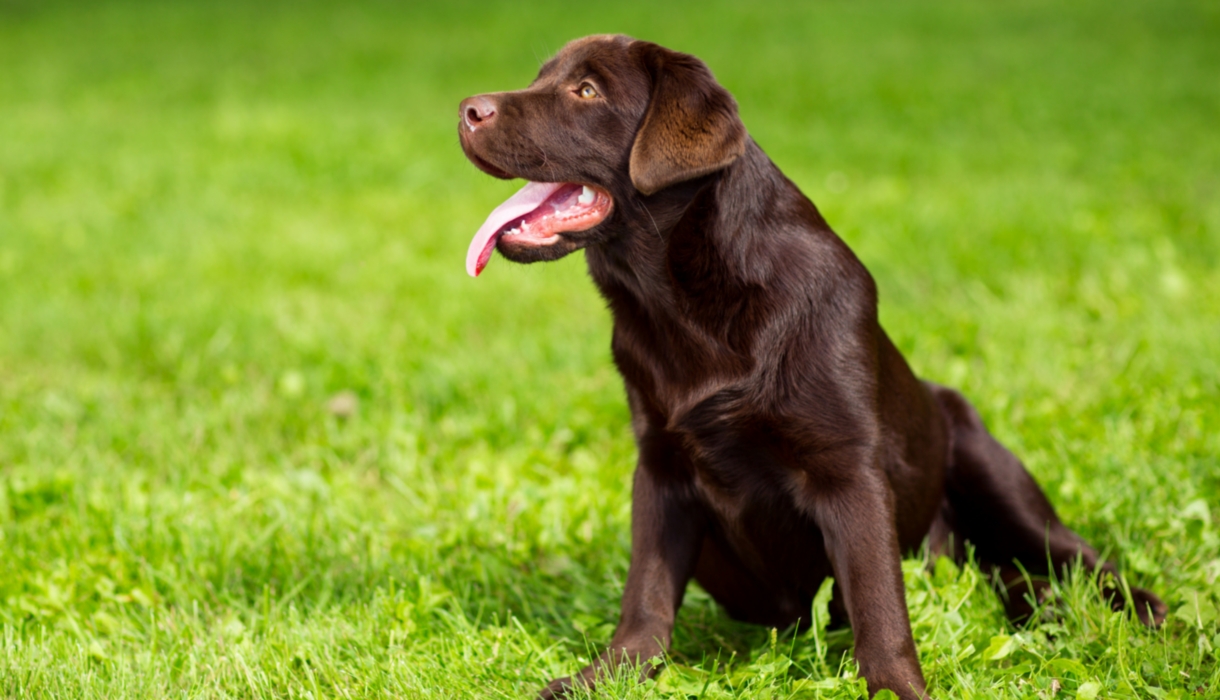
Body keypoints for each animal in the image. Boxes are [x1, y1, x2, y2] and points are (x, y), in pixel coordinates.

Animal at [456, 34, 1161, 700]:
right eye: (541, 77)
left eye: (585, 91)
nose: (466, 109)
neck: (682, 300)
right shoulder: (659, 466)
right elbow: (646, 598)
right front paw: (606, 676)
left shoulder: (848, 469)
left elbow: (880, 606)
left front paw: (897, 688)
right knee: (997, 574)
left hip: (987, 463)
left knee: (1071, 553)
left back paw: (1138, 610)